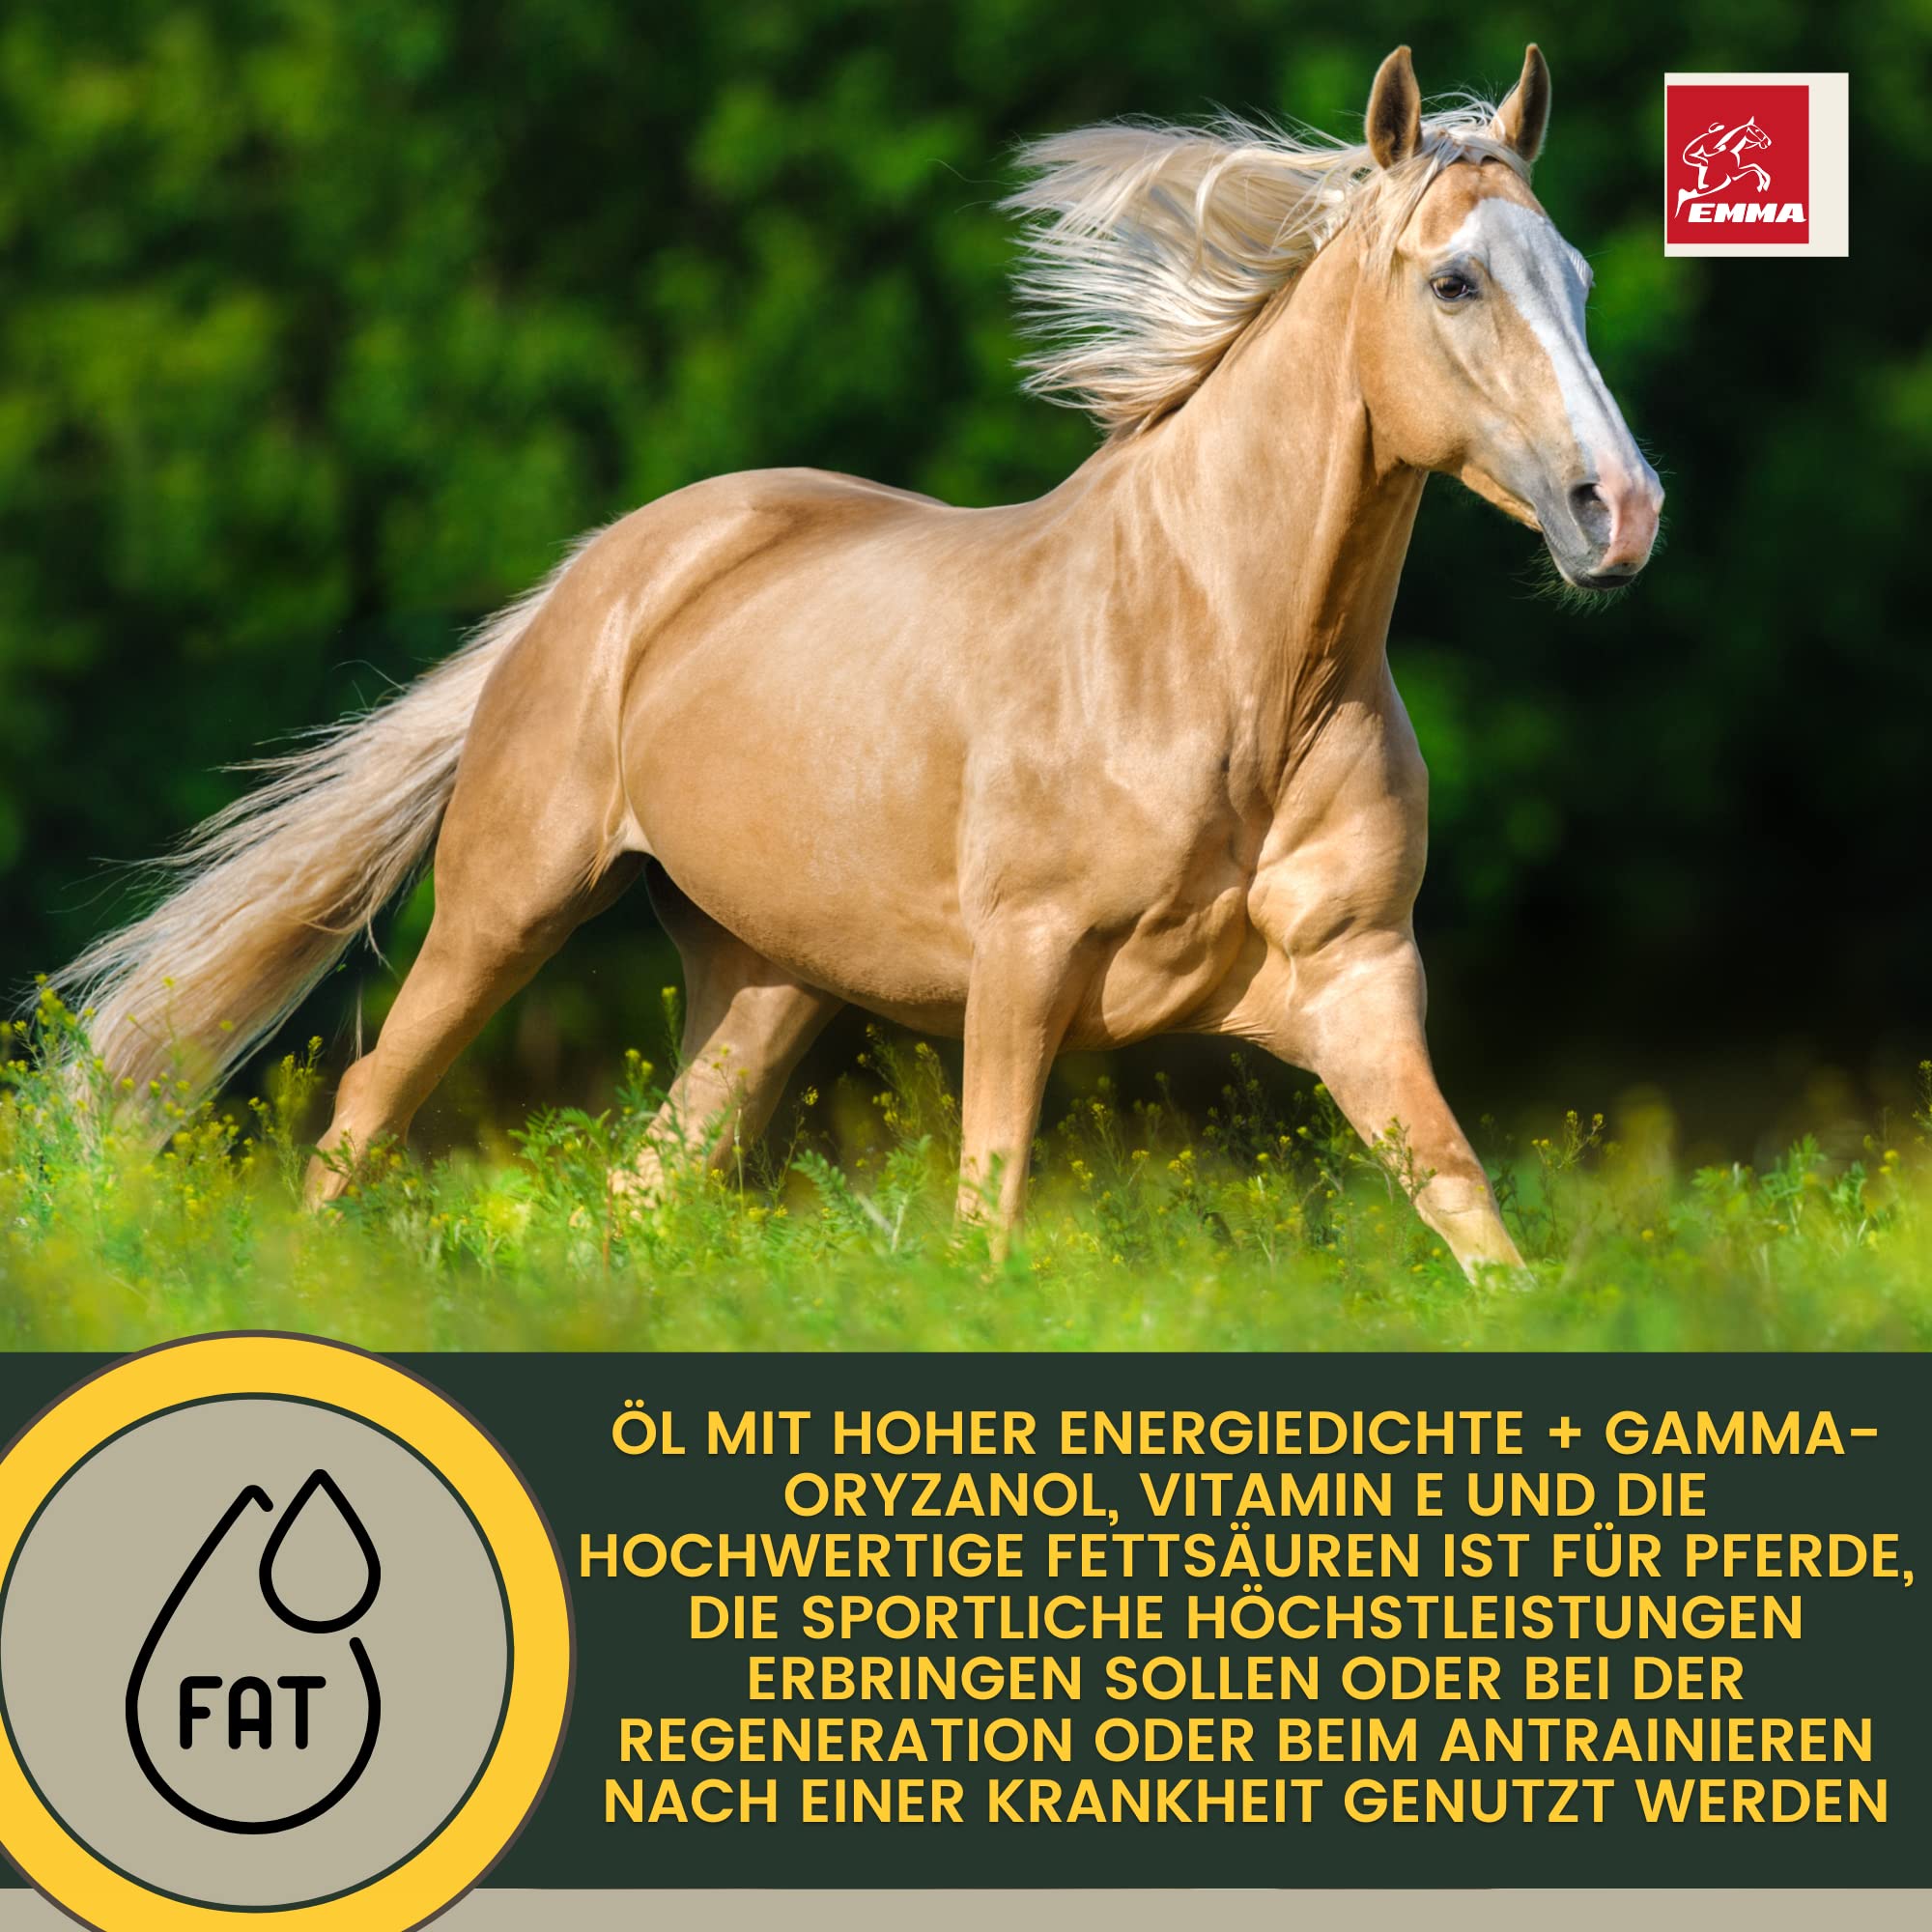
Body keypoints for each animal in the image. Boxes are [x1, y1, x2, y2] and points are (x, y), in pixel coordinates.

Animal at [56, 44, 1662, 1280]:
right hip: (505, 908)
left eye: (1579, 276)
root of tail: (608, 569)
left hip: (763, 985)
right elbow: (986, 1225)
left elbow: (1475, 1222)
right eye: (1454, 282)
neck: (1231, 671)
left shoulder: (1358, 979)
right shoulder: (1023, 966)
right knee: (365, 1113)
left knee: (640, 1188)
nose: (1620, 511)